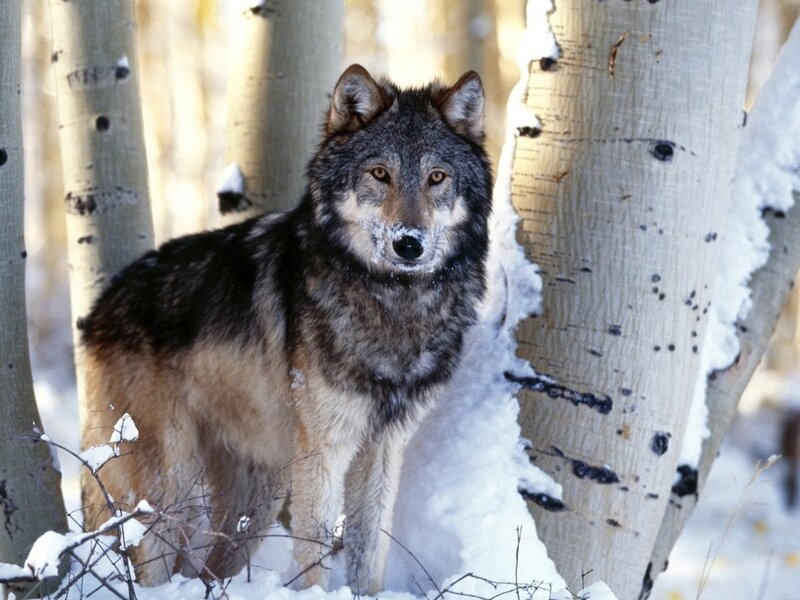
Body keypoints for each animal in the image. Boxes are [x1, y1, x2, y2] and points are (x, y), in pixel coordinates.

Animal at [79, 64, 492, 594]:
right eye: (380, 173)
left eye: (436, 177)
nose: (409, 244)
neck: (394, 303)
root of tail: (98, 310)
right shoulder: (324, 450)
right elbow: (314, 554)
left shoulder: (383, 449)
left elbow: (369, 553)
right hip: (170, 484)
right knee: (151, 563)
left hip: (258, 496)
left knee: (208, 570)